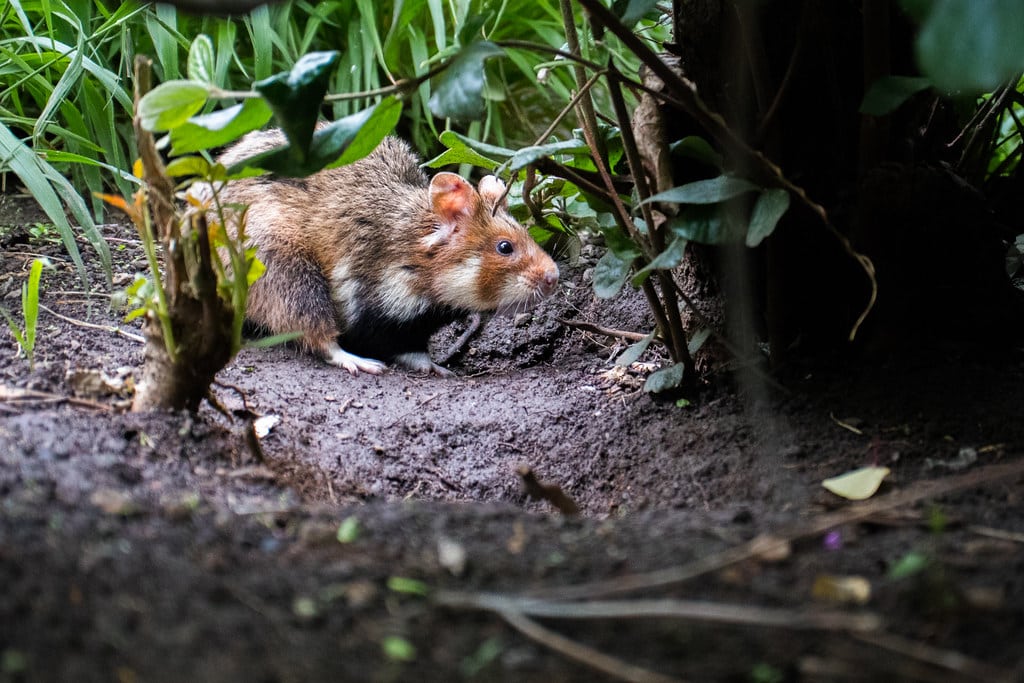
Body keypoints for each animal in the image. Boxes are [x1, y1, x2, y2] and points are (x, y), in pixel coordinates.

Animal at [206, 131, 559, 375]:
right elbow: (398, 348)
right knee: (317, 336)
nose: (555, 277)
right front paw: (435, 368)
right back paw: (360, 363)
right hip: (288, 271)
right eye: (505, 247)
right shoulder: (376, 309)